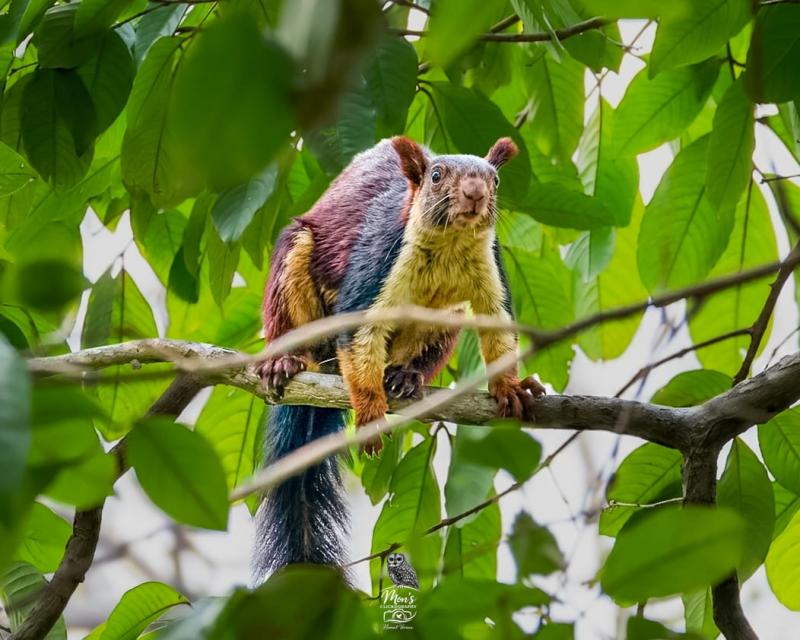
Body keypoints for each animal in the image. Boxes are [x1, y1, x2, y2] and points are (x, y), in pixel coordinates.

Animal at [252, 136, 545, 581]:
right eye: (437, 175)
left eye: (494, 179)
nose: (475, 194)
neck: (450, 245)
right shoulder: (378, 259)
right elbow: (360, 336)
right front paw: (371, 411)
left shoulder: (491, 270)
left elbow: (498, 330)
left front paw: (510, 388)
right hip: (296, 262)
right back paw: (285, 360)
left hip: (445, 320)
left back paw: (406, 375)